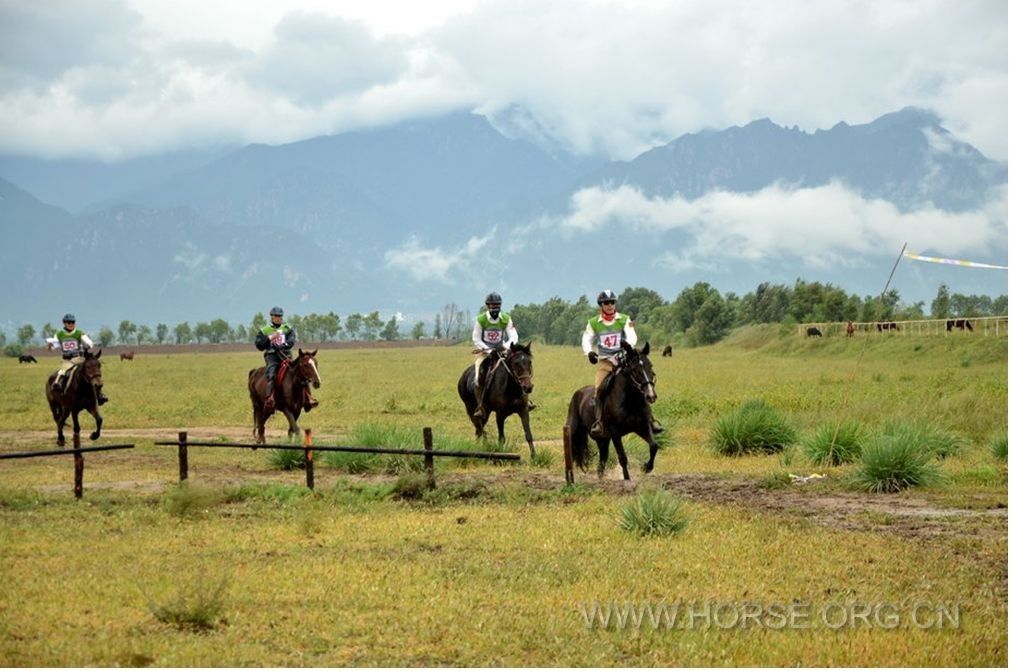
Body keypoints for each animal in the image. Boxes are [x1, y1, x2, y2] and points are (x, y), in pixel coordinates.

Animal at [566, 341, 659, 483]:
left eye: (650, 365)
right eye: (634, 369)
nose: (651, 395)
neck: (631, 401)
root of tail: (578, 393)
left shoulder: (642, 427)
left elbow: (654, 446)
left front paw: (646, 468)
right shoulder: (615, 433)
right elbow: (622, 457)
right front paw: (627, 479)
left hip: (602, 439)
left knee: (602, 461)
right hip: (575, 430)